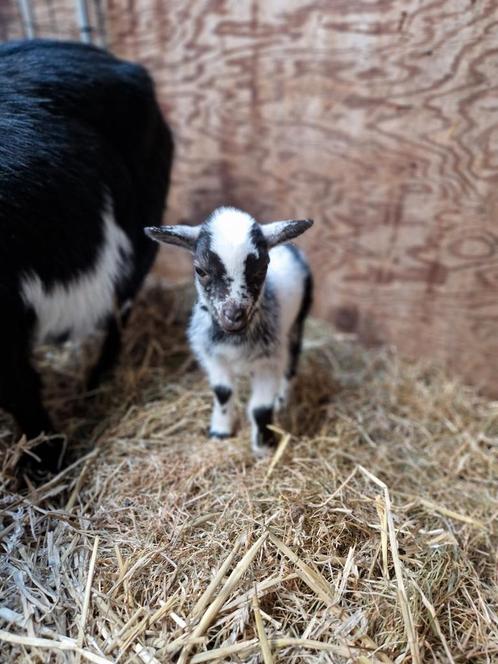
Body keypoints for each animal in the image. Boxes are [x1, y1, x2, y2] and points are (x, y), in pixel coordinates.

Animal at [146, 208, 314, 456]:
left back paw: (282, 401)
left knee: (291, 365)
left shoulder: (268, 361)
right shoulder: (213, 356)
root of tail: (290, 247)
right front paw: (220, 432)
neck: (233, 338)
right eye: (200, 270)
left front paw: (263, 448)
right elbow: (223, 392)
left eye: (263, 268)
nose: (233, 315)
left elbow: (261, 409)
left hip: (297, 322)